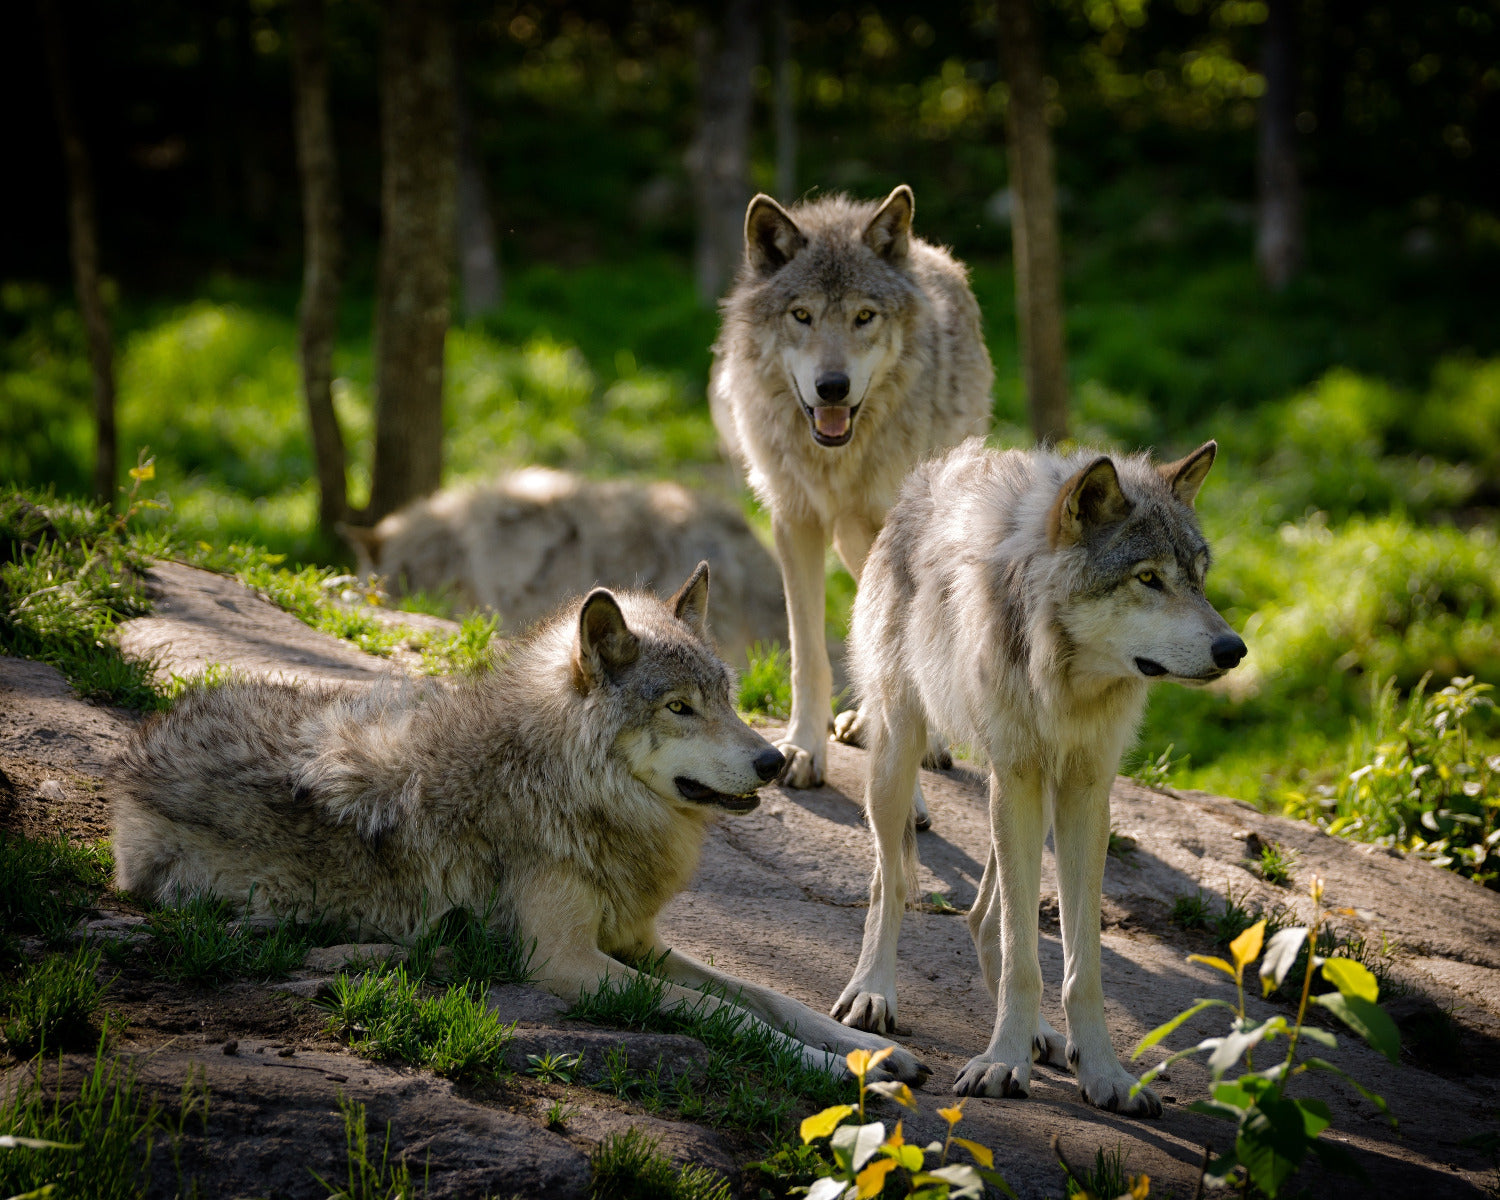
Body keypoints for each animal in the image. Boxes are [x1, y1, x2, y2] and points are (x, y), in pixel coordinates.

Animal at [113, 564, 927, 1082]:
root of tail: (142, 744)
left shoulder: (640, 942)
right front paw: (840, 1073)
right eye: (679, 708)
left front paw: (866, 1050)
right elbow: (727, 1015)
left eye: (726, 698)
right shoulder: (567, 962)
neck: (559, 781)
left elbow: (771, 997)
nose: (772, 761)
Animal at [710, 185, 993, 803]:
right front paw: (802, 748)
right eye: (802, 315)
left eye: (865, 316)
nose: (833, 387)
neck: (836, 460)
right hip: (847, 538)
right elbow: (808, 653)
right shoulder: (793, 520)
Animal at [829, 439, 1246, 1115]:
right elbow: (1025, 956)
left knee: (982, 919)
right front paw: (1002, 1064)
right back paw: (872, 993)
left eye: (1198, 579)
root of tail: (926, 477)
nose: (1234, 650)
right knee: (888, 884)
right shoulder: (1017, 776)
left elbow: (1080, 963)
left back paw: (1042, 1035)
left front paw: (1102, 1071)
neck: (1065, 679)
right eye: (1148, 578)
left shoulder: (1084, 791)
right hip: (899, 760)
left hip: (1031, 798)